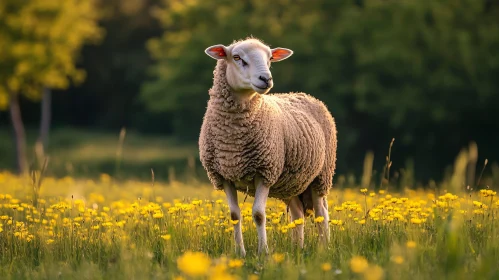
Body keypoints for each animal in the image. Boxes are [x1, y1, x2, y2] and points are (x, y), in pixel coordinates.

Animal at [198, 37, 336, 256]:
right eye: (236, 57)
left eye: (270, 58)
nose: (266, 79)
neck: (234, 140)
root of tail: (304, 94)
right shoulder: (224, 175)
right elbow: (234, 215)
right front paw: (240, 253)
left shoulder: (265, 172)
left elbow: (258, 215)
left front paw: (263, 252)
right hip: (291, 182)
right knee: (297, 213)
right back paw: (298, 249)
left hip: (321, 175)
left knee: (321, 213)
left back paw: (324, 249)